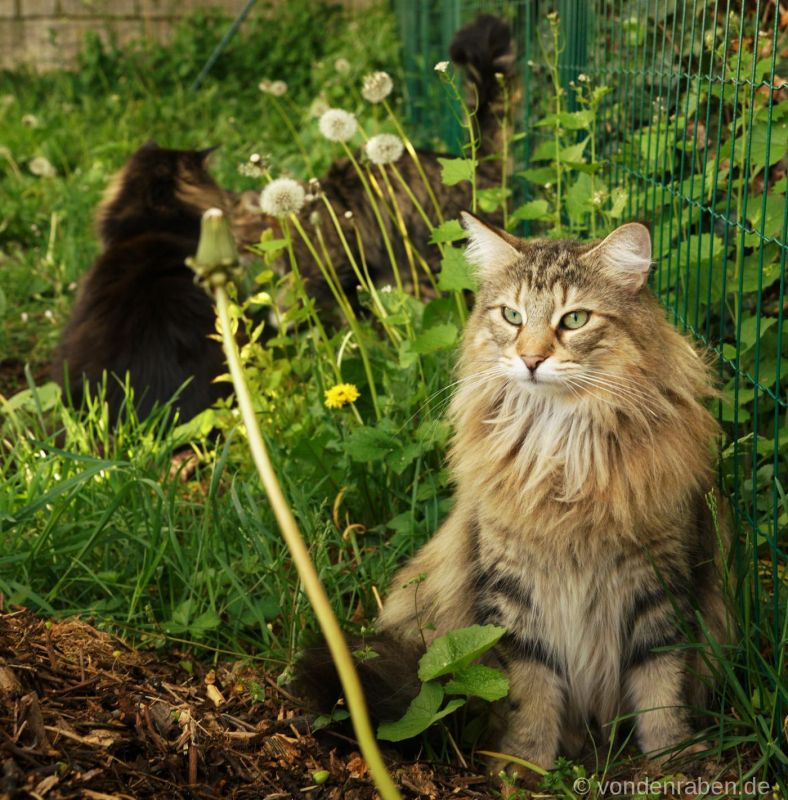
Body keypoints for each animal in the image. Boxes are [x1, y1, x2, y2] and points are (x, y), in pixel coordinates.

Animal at [298, 216, 728, 772]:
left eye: (575, 319)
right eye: (512, 315)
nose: (530, 359)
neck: (561, 450)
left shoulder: (661, 577)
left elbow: (661, 683)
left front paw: (673, 758)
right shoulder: (511, 586)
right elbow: (530, 687)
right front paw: (524, 765)